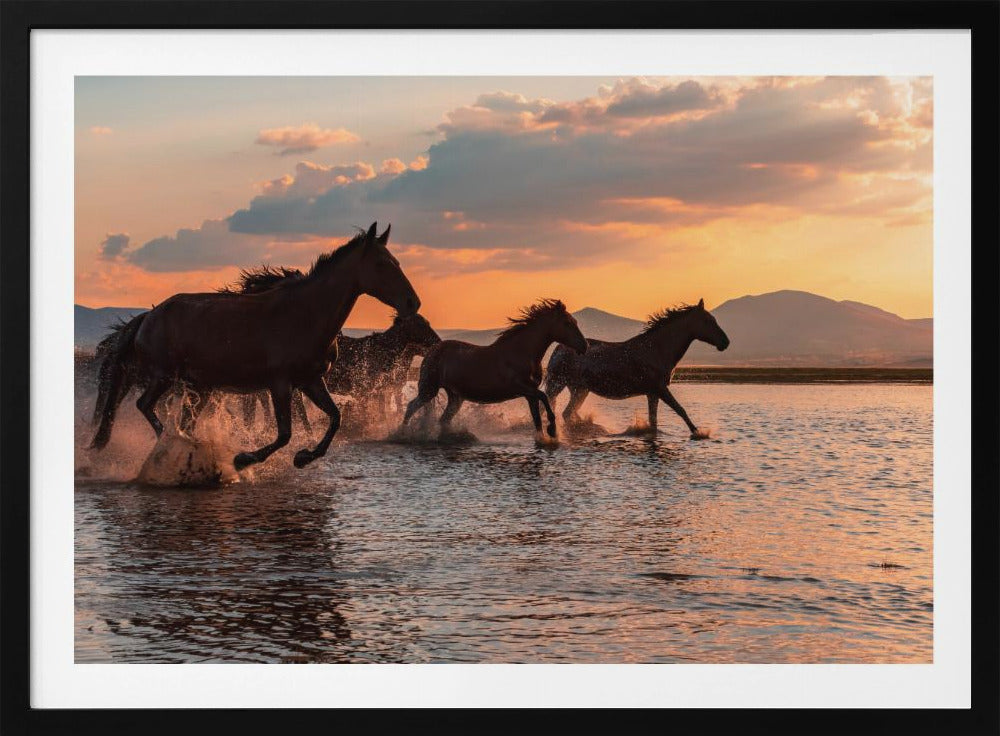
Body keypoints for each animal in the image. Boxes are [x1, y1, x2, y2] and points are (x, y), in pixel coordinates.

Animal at [90, 222, 420, 470]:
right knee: (145, 405)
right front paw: (244, 458)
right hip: (164, 377)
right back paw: (176, 445)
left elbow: (335, 418)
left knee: (182, 419)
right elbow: (285, 433)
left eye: (397, 262)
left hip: (199, 387)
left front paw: (304, 457)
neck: (305, 314)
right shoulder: (280, 383)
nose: (412, 303)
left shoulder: (311, 381)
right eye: (381, 264)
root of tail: (148, 316)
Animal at [401, 299, 587, 438]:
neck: (522, 352)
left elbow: (537, 419)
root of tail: (432, 350)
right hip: (428, 389)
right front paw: (553, 430)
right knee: (411, 407)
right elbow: (544, 397)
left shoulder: (529, 394)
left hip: (455, 397)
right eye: (567, 323)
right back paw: (402, 433)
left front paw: (545, 437)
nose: (584, 346)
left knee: (443, 420)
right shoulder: (521, 387)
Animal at [544, 299, 729, 439]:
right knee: (561, 412)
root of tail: (559, 348)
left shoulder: (653, 393)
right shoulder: (660, 389)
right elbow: (680, 410)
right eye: (708, 321)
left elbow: (654, 422)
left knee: (568, 413)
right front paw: (699, 433)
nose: (725, 342)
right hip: (559, 385)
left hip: (580, 390)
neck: (657, 350)